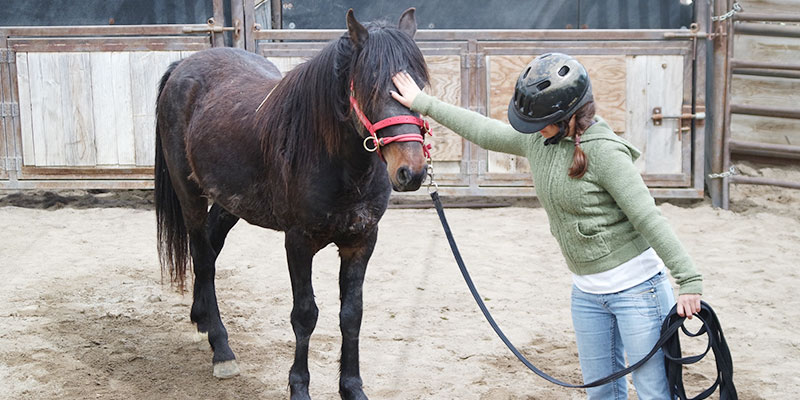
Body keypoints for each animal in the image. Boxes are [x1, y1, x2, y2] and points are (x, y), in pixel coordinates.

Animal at [154, 7, 428, 400]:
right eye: (370, 86)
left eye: (419, 86)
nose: (412, 171)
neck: (335, 161)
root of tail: (183, 67)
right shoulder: (298, 242)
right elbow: (305, 314)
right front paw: (299, 387)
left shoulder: (361, 241)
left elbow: (352, 315)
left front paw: (352, 388)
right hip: (189, 193)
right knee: (203, 256)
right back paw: (221, 349)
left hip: (230, 201)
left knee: (210, 245)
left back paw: (201, 318)